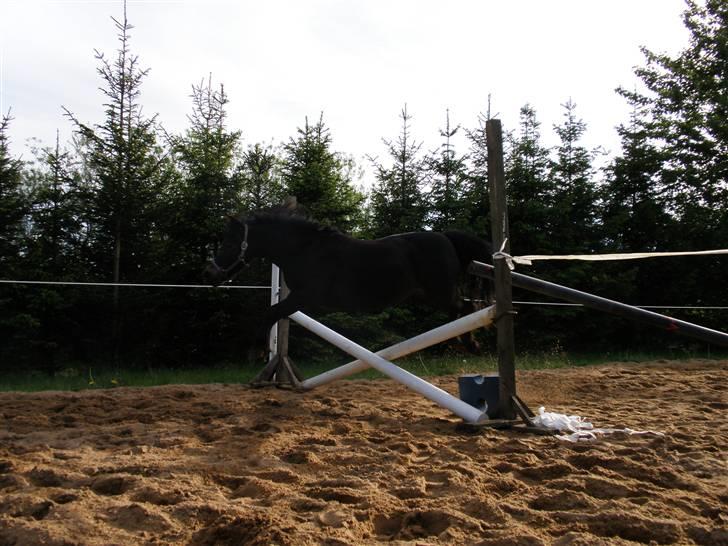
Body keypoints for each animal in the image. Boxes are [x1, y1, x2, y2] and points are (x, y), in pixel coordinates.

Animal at [203, 208, 493, 342]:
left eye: (230, 243)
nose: (209, 274)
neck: (304, 250)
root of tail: (446, 237)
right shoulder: (298, 299)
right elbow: (274, 314)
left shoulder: (302, 297)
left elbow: (271, 313)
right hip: (427, 296)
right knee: (463, 310)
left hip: (440, 293)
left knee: (467, 308)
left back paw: (470, 343)